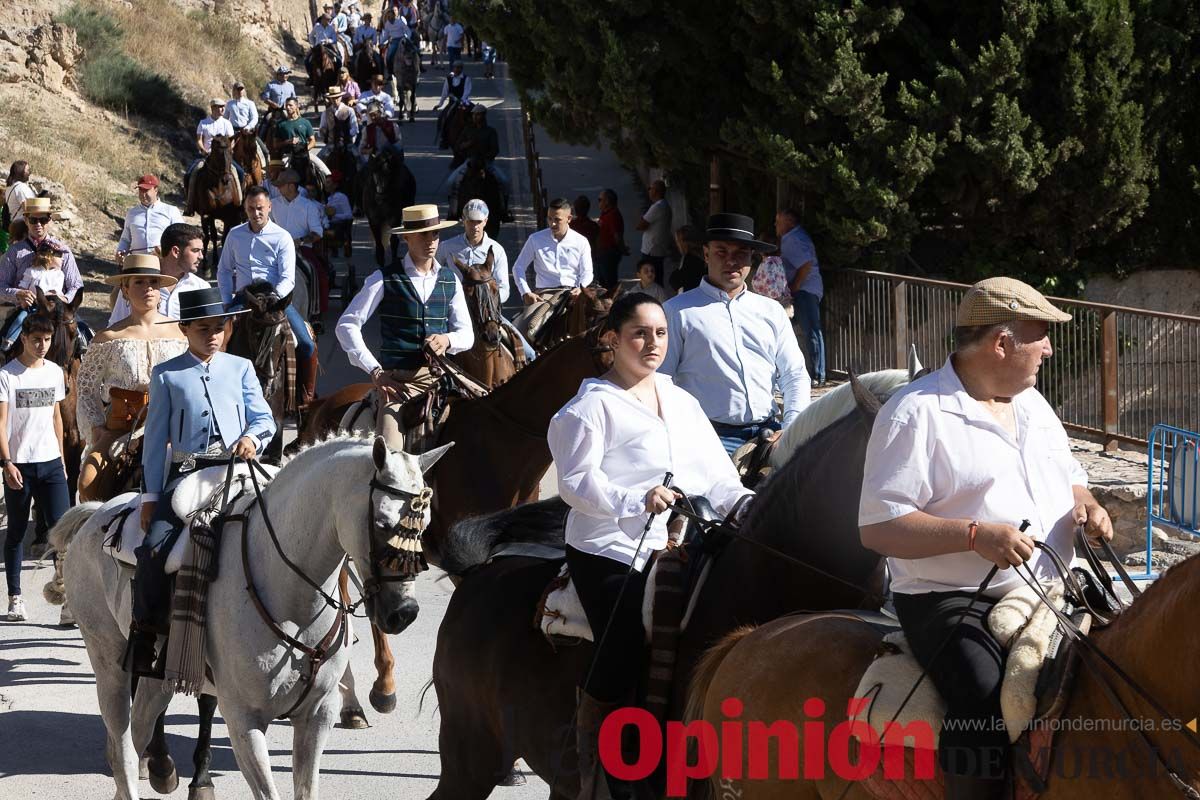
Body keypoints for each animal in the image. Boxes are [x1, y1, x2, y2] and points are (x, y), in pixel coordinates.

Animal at [49, 434, 448, 800]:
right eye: (382, 523)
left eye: (425, 524)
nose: (404, 613)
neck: (290, 594)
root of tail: (98, 512)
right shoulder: (244, 718)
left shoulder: (317, 715)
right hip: (108, 661)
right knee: (122, 747)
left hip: (158, 675)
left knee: (140, 727)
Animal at [184, 136, 243, 272]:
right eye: (217, 153)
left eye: (231, 152)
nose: (226, 179)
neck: (218, 187)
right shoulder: (207, 214)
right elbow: (209, 237)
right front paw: (208, 263)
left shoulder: (228, 216)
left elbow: (225, 237)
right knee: (210, 236)